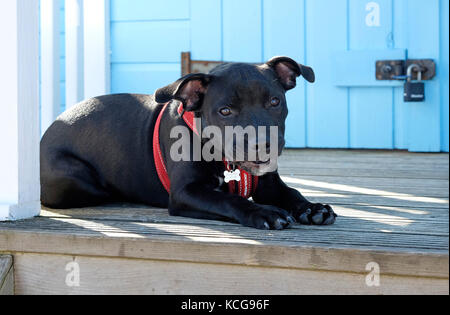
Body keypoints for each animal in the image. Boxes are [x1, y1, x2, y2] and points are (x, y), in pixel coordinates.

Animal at [41, 56, 338, 230]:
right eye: (225, 111)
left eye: (275, 102)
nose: (262, 143)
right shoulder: (187, 193)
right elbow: (229, 200)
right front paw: (262, 212)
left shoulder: (269, 184)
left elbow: (292, 192)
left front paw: (312, 208)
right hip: (74, 179)